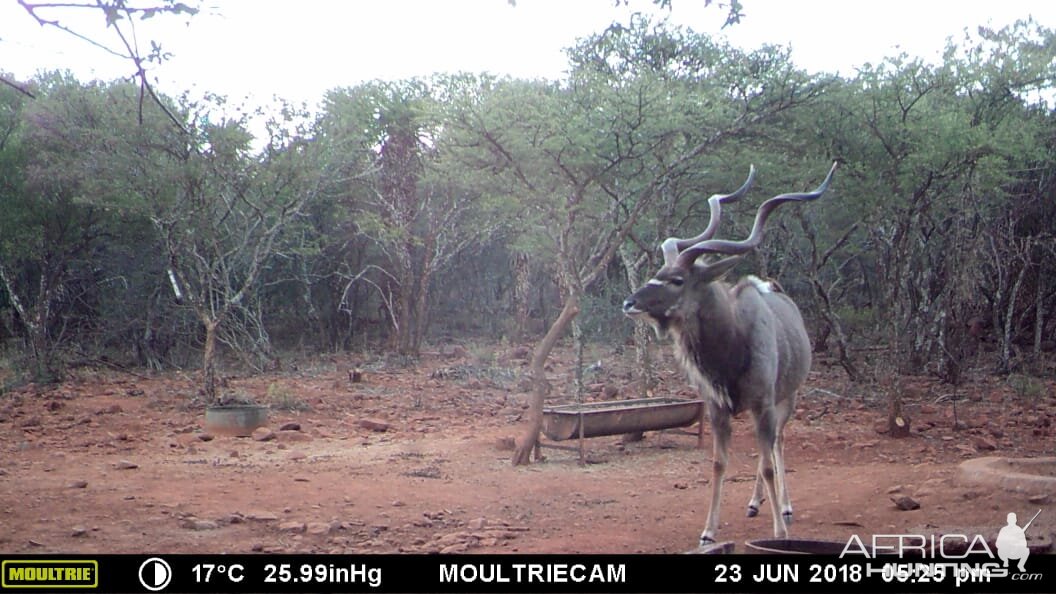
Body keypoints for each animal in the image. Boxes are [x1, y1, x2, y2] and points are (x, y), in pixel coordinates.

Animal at [620, 162, 836, 545]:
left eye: (677, 280)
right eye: (659, 272)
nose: (630, 303)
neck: (733, 344)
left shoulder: (764, 403)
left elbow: (767, 462)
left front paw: (779, 531)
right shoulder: (718, 408)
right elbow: (719, 462)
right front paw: (708, 532)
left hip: (787, 398)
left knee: (777, 445)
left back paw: (784, 508)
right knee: (768, 448)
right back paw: (754, 504)